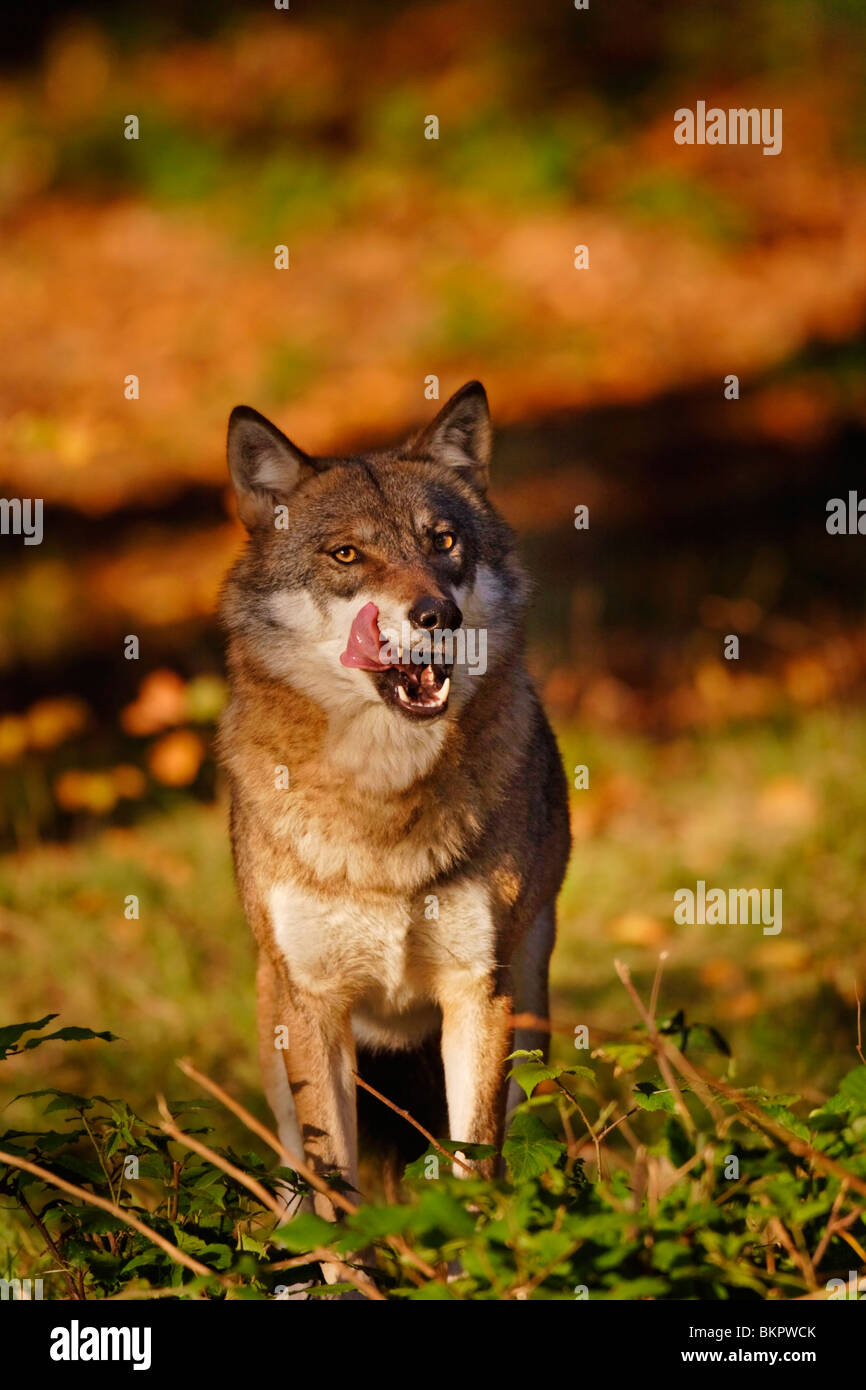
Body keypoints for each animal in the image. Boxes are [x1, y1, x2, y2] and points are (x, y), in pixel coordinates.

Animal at [218, 380, 569, 1228]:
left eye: (443, 542)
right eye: (348, 554)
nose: (437, 615)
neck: (383, 803)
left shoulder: (479, 994)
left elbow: (476, 1168)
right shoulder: (315, 1006)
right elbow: (339, 1198)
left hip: (531, 1012)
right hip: (276, 1032)